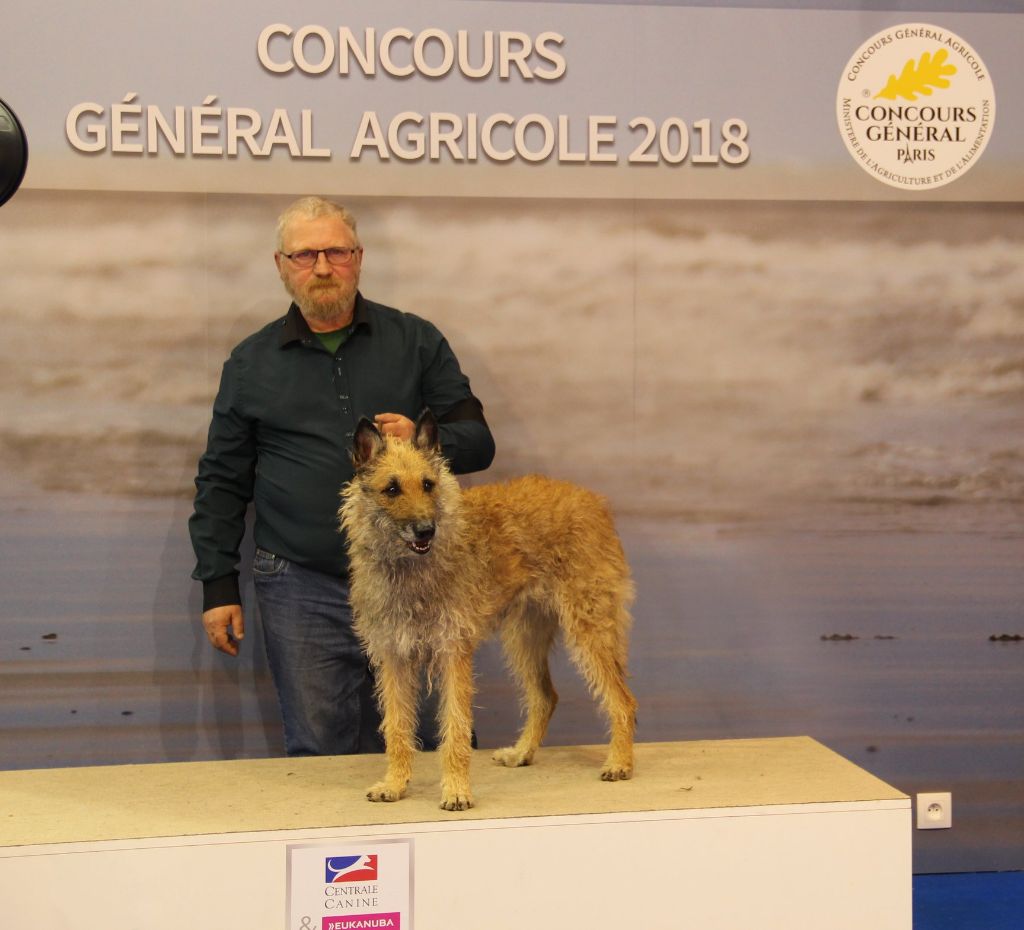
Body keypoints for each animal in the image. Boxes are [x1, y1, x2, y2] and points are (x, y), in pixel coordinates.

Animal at [339, 409, 634, 811]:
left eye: (428, 484)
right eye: (392, 489)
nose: (426, 531)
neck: (411, 570)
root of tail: (593, 501)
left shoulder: (453, 654)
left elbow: (455, 728)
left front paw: (456, 790)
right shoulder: (394, 658)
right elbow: (397, 728)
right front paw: (395, 784)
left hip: (591, 627)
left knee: (623, 699)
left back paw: (620, 762)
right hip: (525, 636)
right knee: (546, 697)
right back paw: (522, 753)